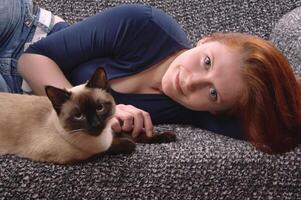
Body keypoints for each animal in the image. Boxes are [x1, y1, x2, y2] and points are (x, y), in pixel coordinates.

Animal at [0, 68, 176, 163]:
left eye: (99, 108)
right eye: (78, 116)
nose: (96, 124)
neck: (103, 137)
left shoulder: (111, 129)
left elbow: (137, 134)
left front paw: (167, 136)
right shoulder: (75, 154)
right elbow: (107, 148)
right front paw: (128, 145)